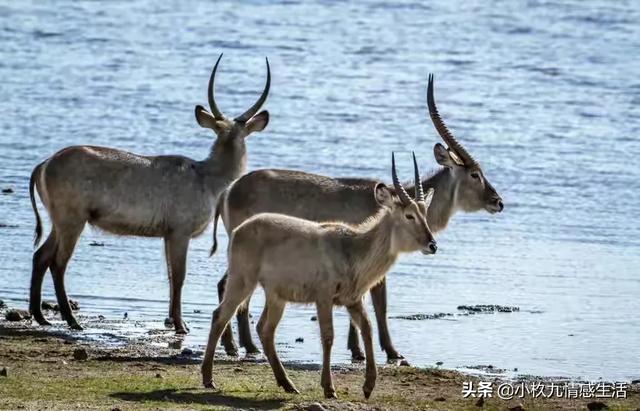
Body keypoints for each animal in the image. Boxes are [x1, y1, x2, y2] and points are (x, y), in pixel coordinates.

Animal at [27, 55, 272, 334]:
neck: (207, 176)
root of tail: (45, 163)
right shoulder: (179, 232)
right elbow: (179, 276)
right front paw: (181, 325)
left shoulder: (167, 234)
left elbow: (169, 276)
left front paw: (174, 321)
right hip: (72, 220)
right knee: (58, 263)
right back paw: (72, 320)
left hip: (60, 221)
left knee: (40, 256)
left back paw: (40, 316)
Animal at [202, 152, 438, 400]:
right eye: (409, 215)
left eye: (425, 214)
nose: (432, 245)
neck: (352, 247)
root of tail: (240, 229)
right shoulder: (323, 297)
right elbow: (328, 336)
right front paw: (329, 388)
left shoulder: (353, 300)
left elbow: (367, 329)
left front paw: (368, 386)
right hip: (242, 281)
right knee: (220, 315)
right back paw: (208, 379)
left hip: (276, 297)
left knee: (264, 330)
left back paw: (287, 384)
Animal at [212, 75, 502, 360]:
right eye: (475, 174)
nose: (498, 201)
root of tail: (229, 189)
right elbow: (380, 305)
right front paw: (389, 352)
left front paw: (357, 349)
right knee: (227, 288)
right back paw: (240, 346)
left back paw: (242, 346)